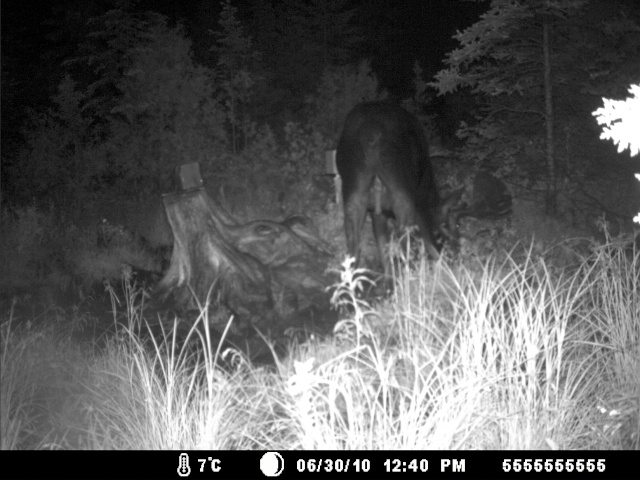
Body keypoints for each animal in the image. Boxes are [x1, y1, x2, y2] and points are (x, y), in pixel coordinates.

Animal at [336, 100, 460, 274]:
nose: (457, 252)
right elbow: (429, 241)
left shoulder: (378, 213)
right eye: (452, 224)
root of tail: (371, 128)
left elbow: (384, 249)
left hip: (354, 193)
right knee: (405, 245)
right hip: (401, 194)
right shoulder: (419, 205)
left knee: (353, 251)